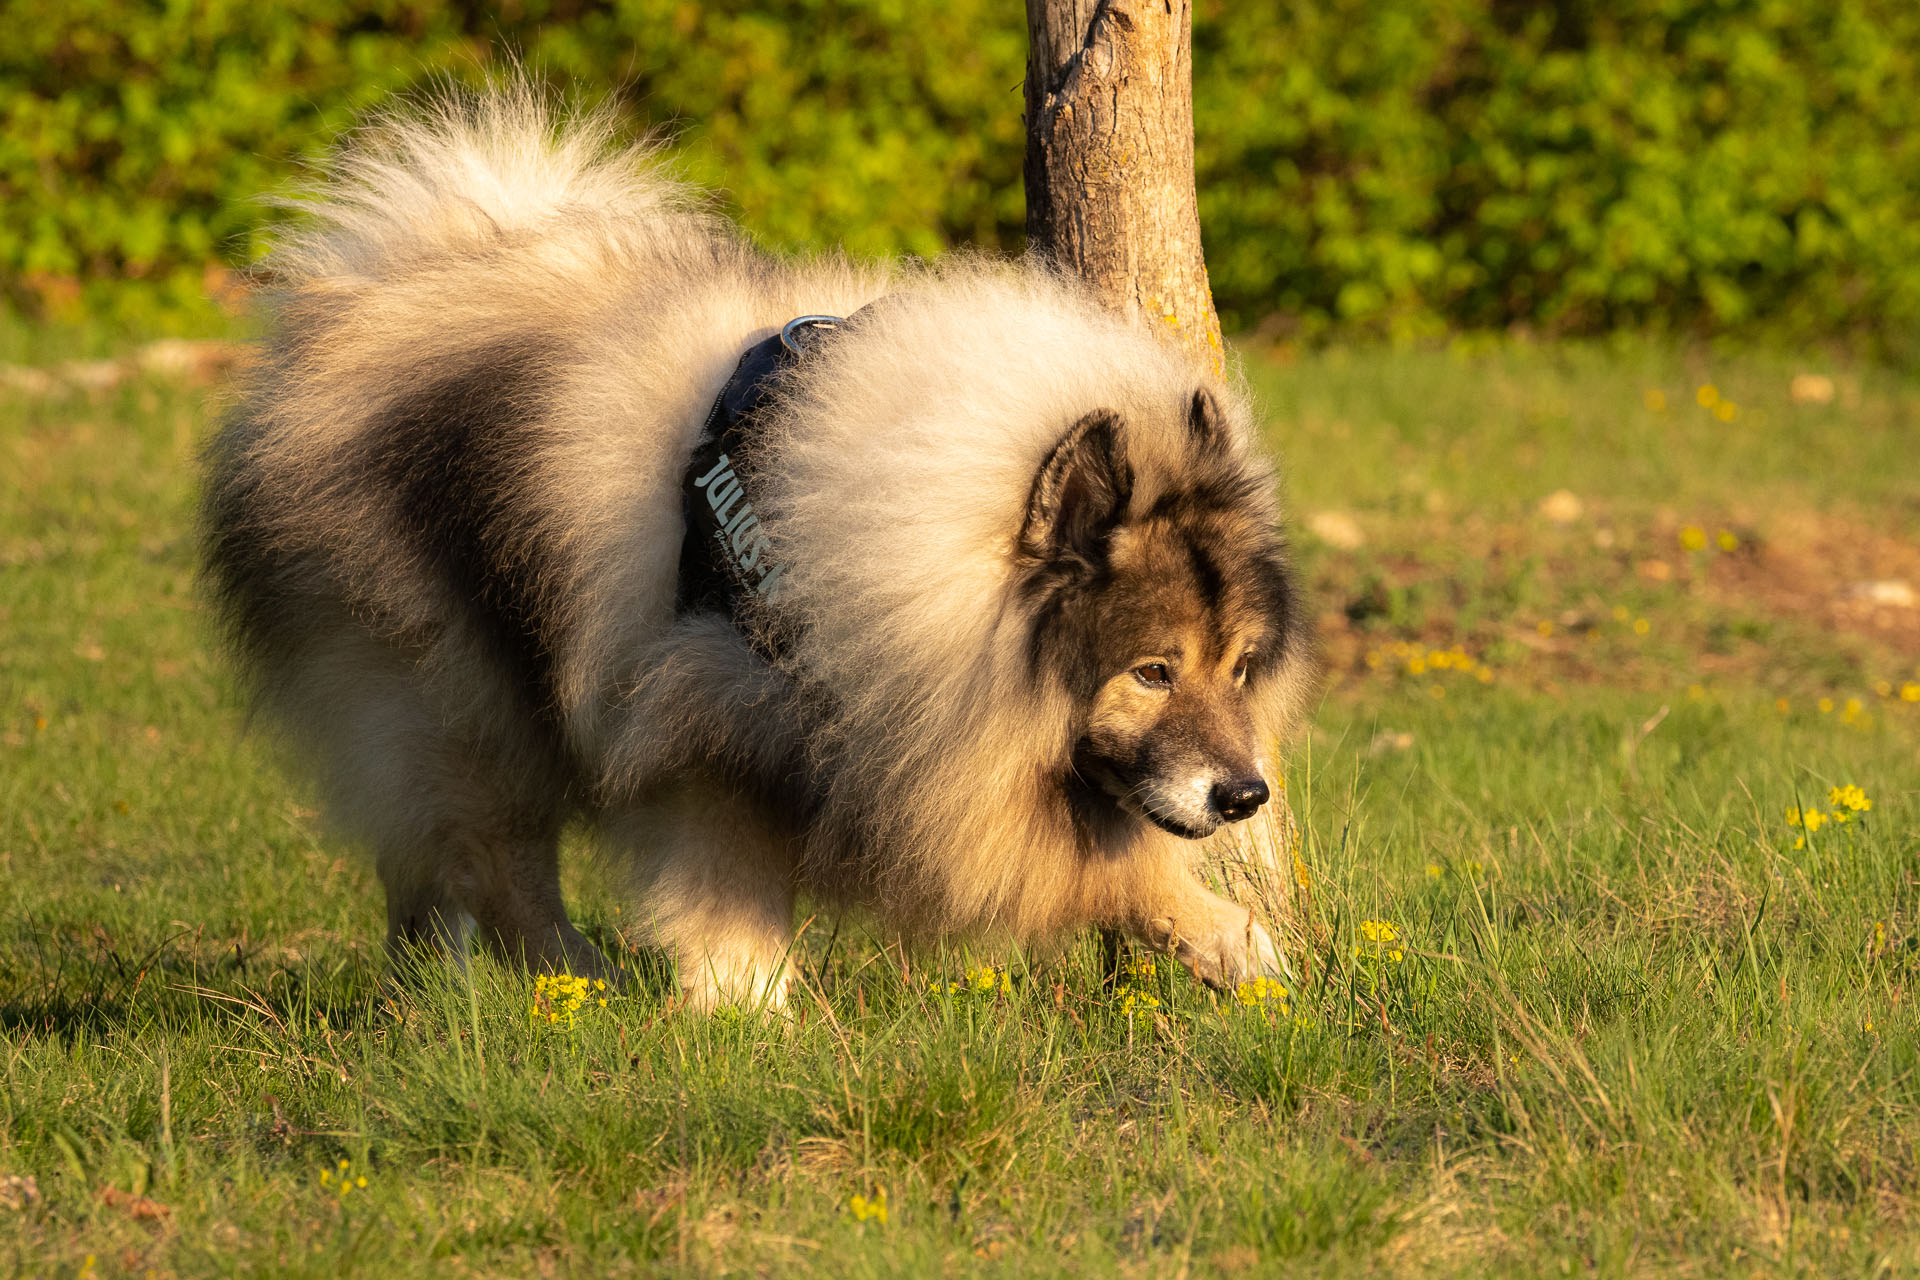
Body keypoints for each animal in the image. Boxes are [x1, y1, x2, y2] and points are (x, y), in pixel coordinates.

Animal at [206, 87, 1320, 1013]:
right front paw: (748, 1008)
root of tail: (361, 301)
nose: (1246, 793)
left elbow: (1097, 858)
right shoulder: (721, 714)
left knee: (432, 865)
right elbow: (745, 883)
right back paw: (584, 985)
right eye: (1152, 671)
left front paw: (1230, 941)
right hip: (464, 697)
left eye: (1237, 668)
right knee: (493, 861)